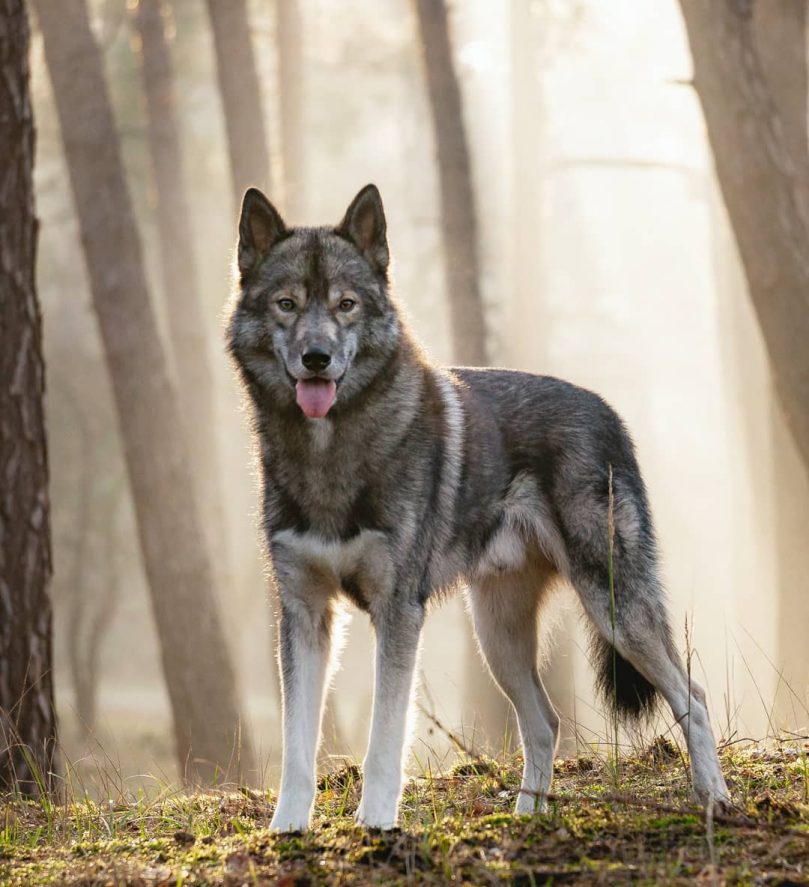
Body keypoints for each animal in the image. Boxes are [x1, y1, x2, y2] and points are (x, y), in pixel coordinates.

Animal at [227, 184, 732, 828]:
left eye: (345, 305)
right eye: (287, 304)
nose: (316, 357)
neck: (331, 454)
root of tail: (608, 412)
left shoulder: (398, 612)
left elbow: (383, 741)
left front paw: (376, 826)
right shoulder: (304, 613)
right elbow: (297, 743)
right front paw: (287, 831)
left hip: (614, 610)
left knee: (693, 697)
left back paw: (713, 798)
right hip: (497, 637)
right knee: (545, 724)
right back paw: (526, 819)